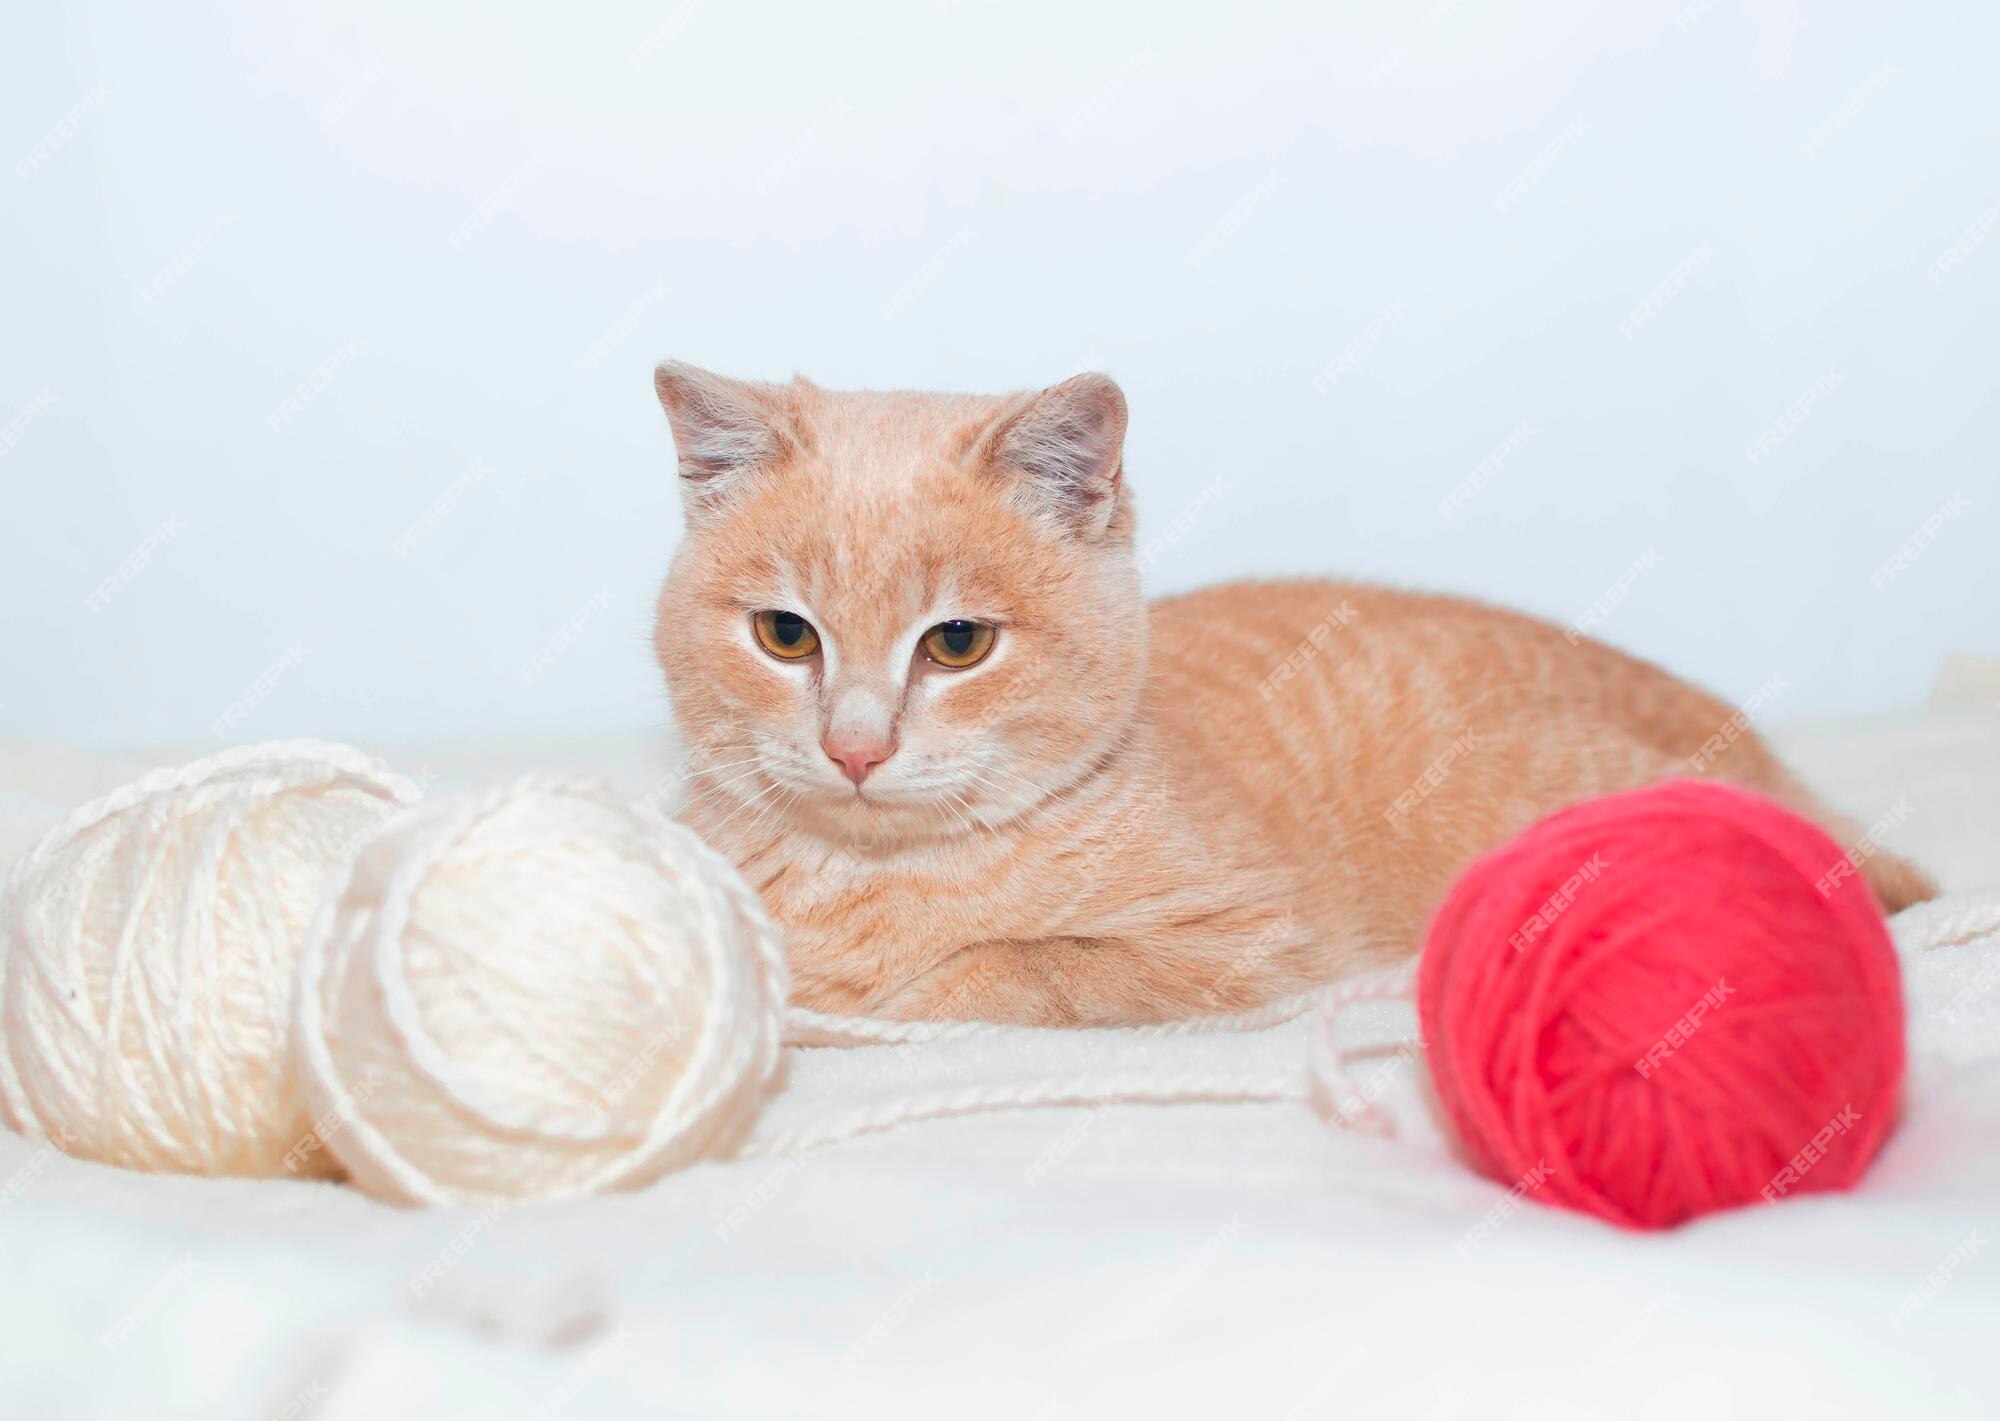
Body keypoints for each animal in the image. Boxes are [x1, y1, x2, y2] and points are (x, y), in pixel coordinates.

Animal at [656, 364, 1936, 1024]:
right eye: (784, 635)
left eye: (956, 642)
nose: (854, 746)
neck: (871, 876)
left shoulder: (1245, 945)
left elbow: (1005, 968)